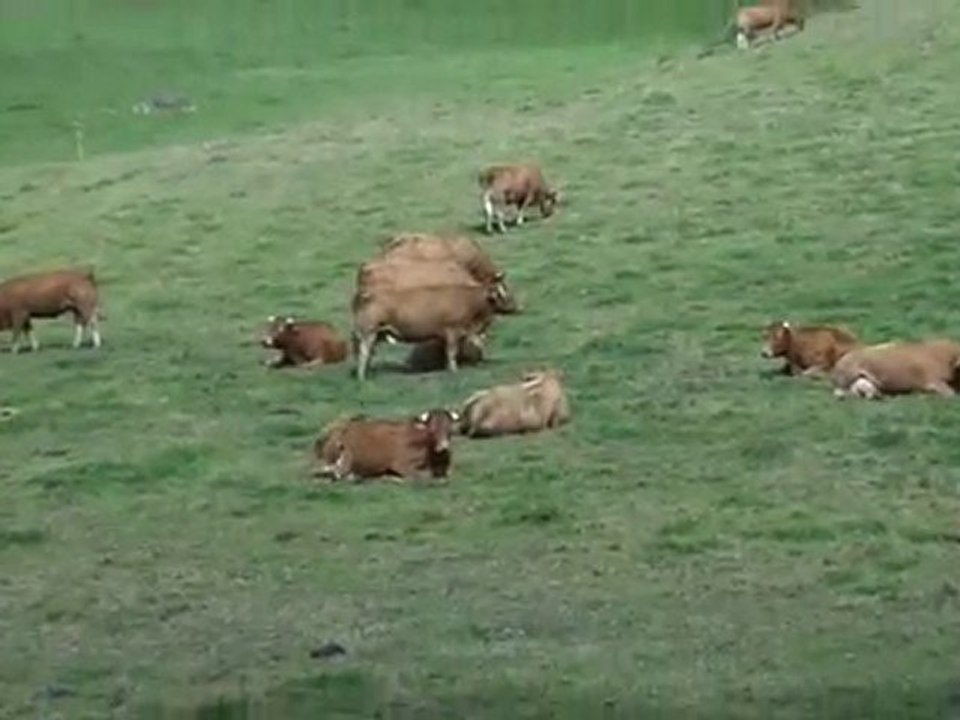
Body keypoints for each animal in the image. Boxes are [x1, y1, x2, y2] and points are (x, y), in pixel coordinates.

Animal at [352, 283, 517, 380]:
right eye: (501, 293)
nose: (516, 306)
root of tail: (369, 294)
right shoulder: (452, 330)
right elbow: (452, 352)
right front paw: (454, 370)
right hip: (368, 332)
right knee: (364, 353)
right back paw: (362, 377)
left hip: (377, 334)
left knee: (370, 353)